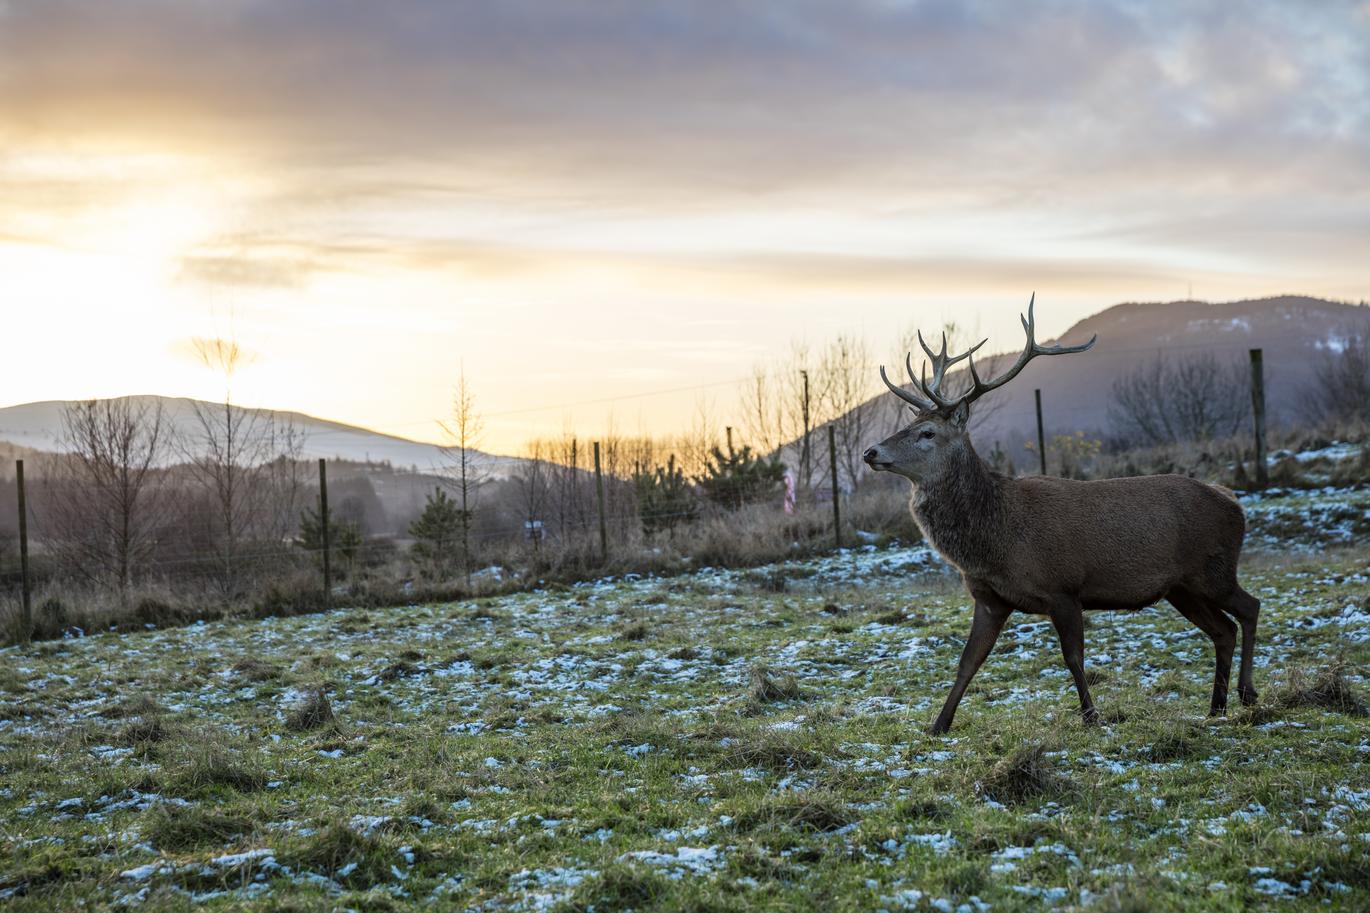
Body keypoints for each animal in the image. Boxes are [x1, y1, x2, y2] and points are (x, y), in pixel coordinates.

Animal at [863, 296, 1260, 734]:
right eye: (909, 424)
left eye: (927, 433)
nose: (871, 452)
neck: (997, 538)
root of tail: (1234, 502)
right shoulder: (990, 599)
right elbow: (968, 662)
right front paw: (939, 725)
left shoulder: (1064, 588)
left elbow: (1073, 658)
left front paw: (1091, 715)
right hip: (1182, 587)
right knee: (1223, 630)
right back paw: (1216, 707)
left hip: (1213, 570)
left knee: (1250, 608)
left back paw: (1246, 693)